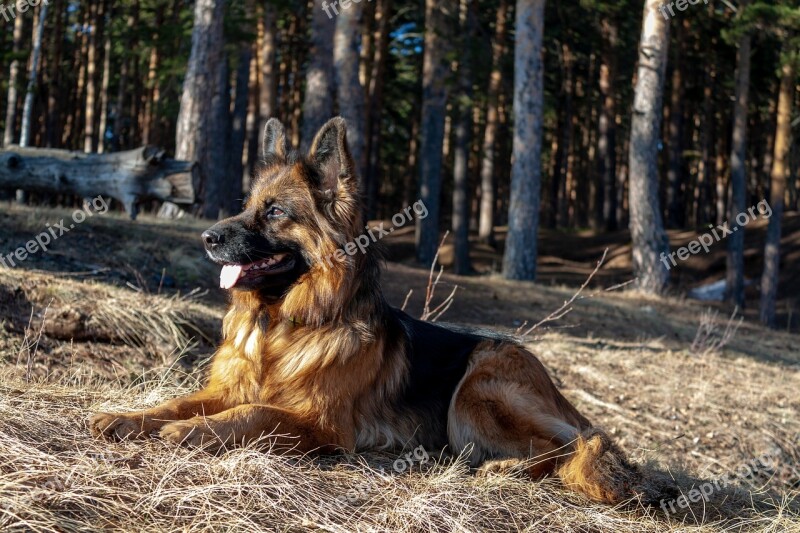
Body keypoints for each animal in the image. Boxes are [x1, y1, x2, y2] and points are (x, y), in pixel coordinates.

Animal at [90, 117, 644, 502]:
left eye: (274, 212)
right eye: (247, 207)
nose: (207, 237)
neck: (283, 325)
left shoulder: (320, 425)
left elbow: (250, 413)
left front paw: (189, 433)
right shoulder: (223, 390)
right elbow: (177, 403)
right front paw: (128, 417)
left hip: (478, 387)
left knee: (566, 449)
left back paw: (503, 468)